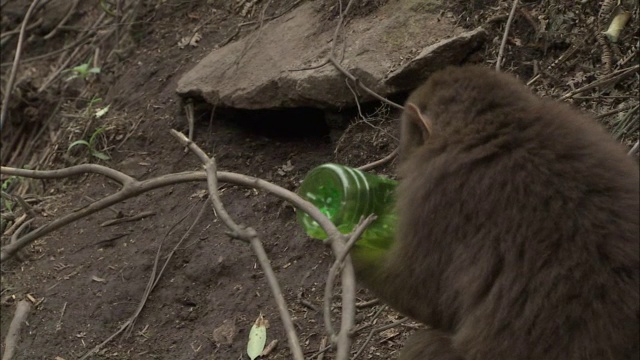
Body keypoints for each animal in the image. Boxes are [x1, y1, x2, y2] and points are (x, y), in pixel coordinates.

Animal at [350, 65, 640, 360]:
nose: (401, 160)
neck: (495, 129)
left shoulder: (433, 196)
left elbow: (421, 292)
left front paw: (350, 242)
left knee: (421, 345)